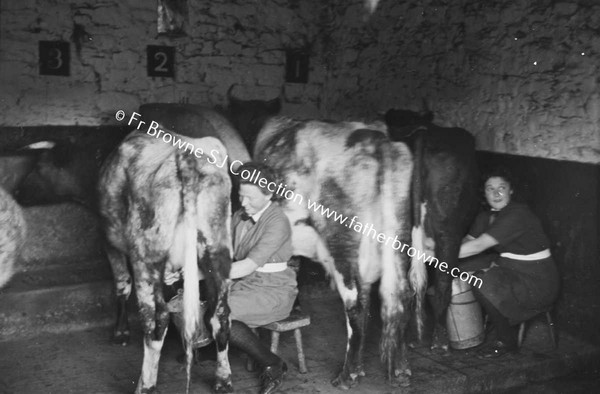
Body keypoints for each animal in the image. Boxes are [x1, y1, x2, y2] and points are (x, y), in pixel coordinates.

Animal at [96, 127, 234, 392]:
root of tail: (187, 157)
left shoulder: (109, 241)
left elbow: (122, 284)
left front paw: (120, 333)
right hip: (218, 252)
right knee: (220, 315)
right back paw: (224, 380)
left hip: (146, 259)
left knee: (156, 320)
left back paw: (146, 385)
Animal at [253, 116, 426, 388]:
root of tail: (377, 139)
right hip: (397, 238)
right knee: (399, 296)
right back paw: (399, 371)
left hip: (341, 242)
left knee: (355, 304)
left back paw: (348, 375)